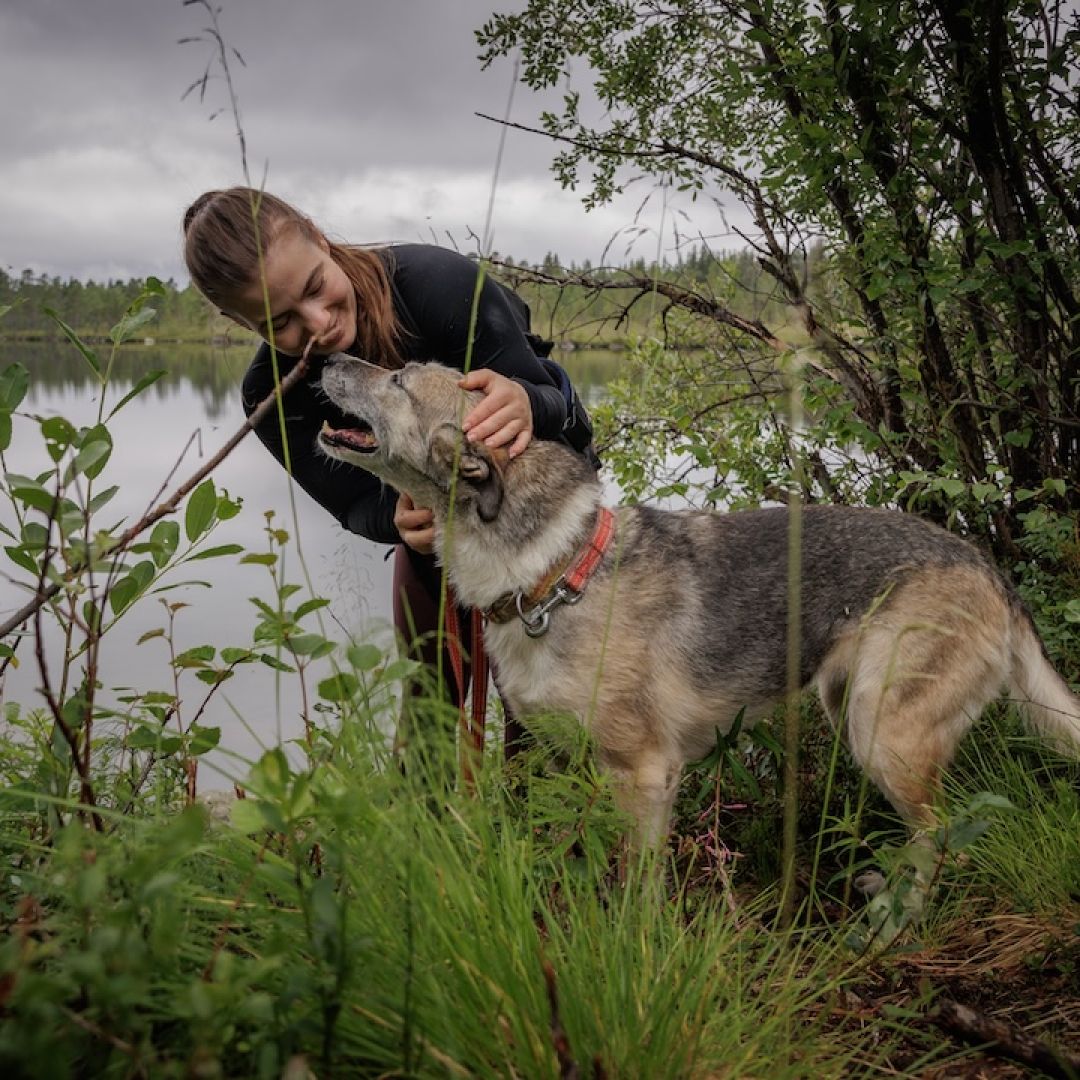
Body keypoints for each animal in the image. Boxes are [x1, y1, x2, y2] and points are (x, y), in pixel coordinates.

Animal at [315, 358, 1075, 846]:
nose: (326, 356)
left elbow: (635, 897)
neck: (556, 573)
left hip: (884, 733)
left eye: (399, 379)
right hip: (848, 704)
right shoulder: (568, 764)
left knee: (946, 835)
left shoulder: (645, 776)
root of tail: (990, 570)